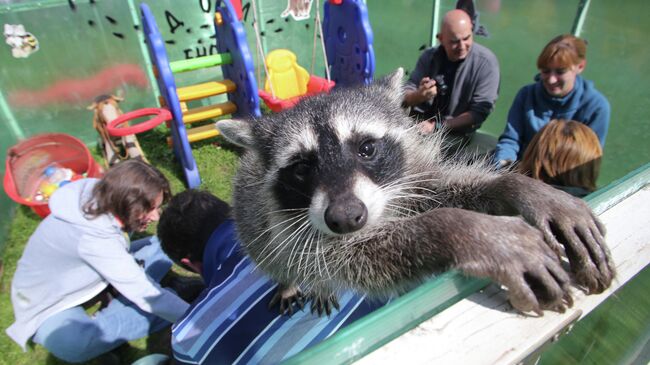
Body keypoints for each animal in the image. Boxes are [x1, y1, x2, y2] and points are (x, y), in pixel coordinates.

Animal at [214, 69, 612, 314]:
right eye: (301, 168)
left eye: (366, 148)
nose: (345, 218)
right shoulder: (298, 231)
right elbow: (348, 257)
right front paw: (464, 229)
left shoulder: (408, 180)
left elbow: (438, 190)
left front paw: (517, 186)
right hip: (251, 225)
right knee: (276, 258)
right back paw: (294, 283)